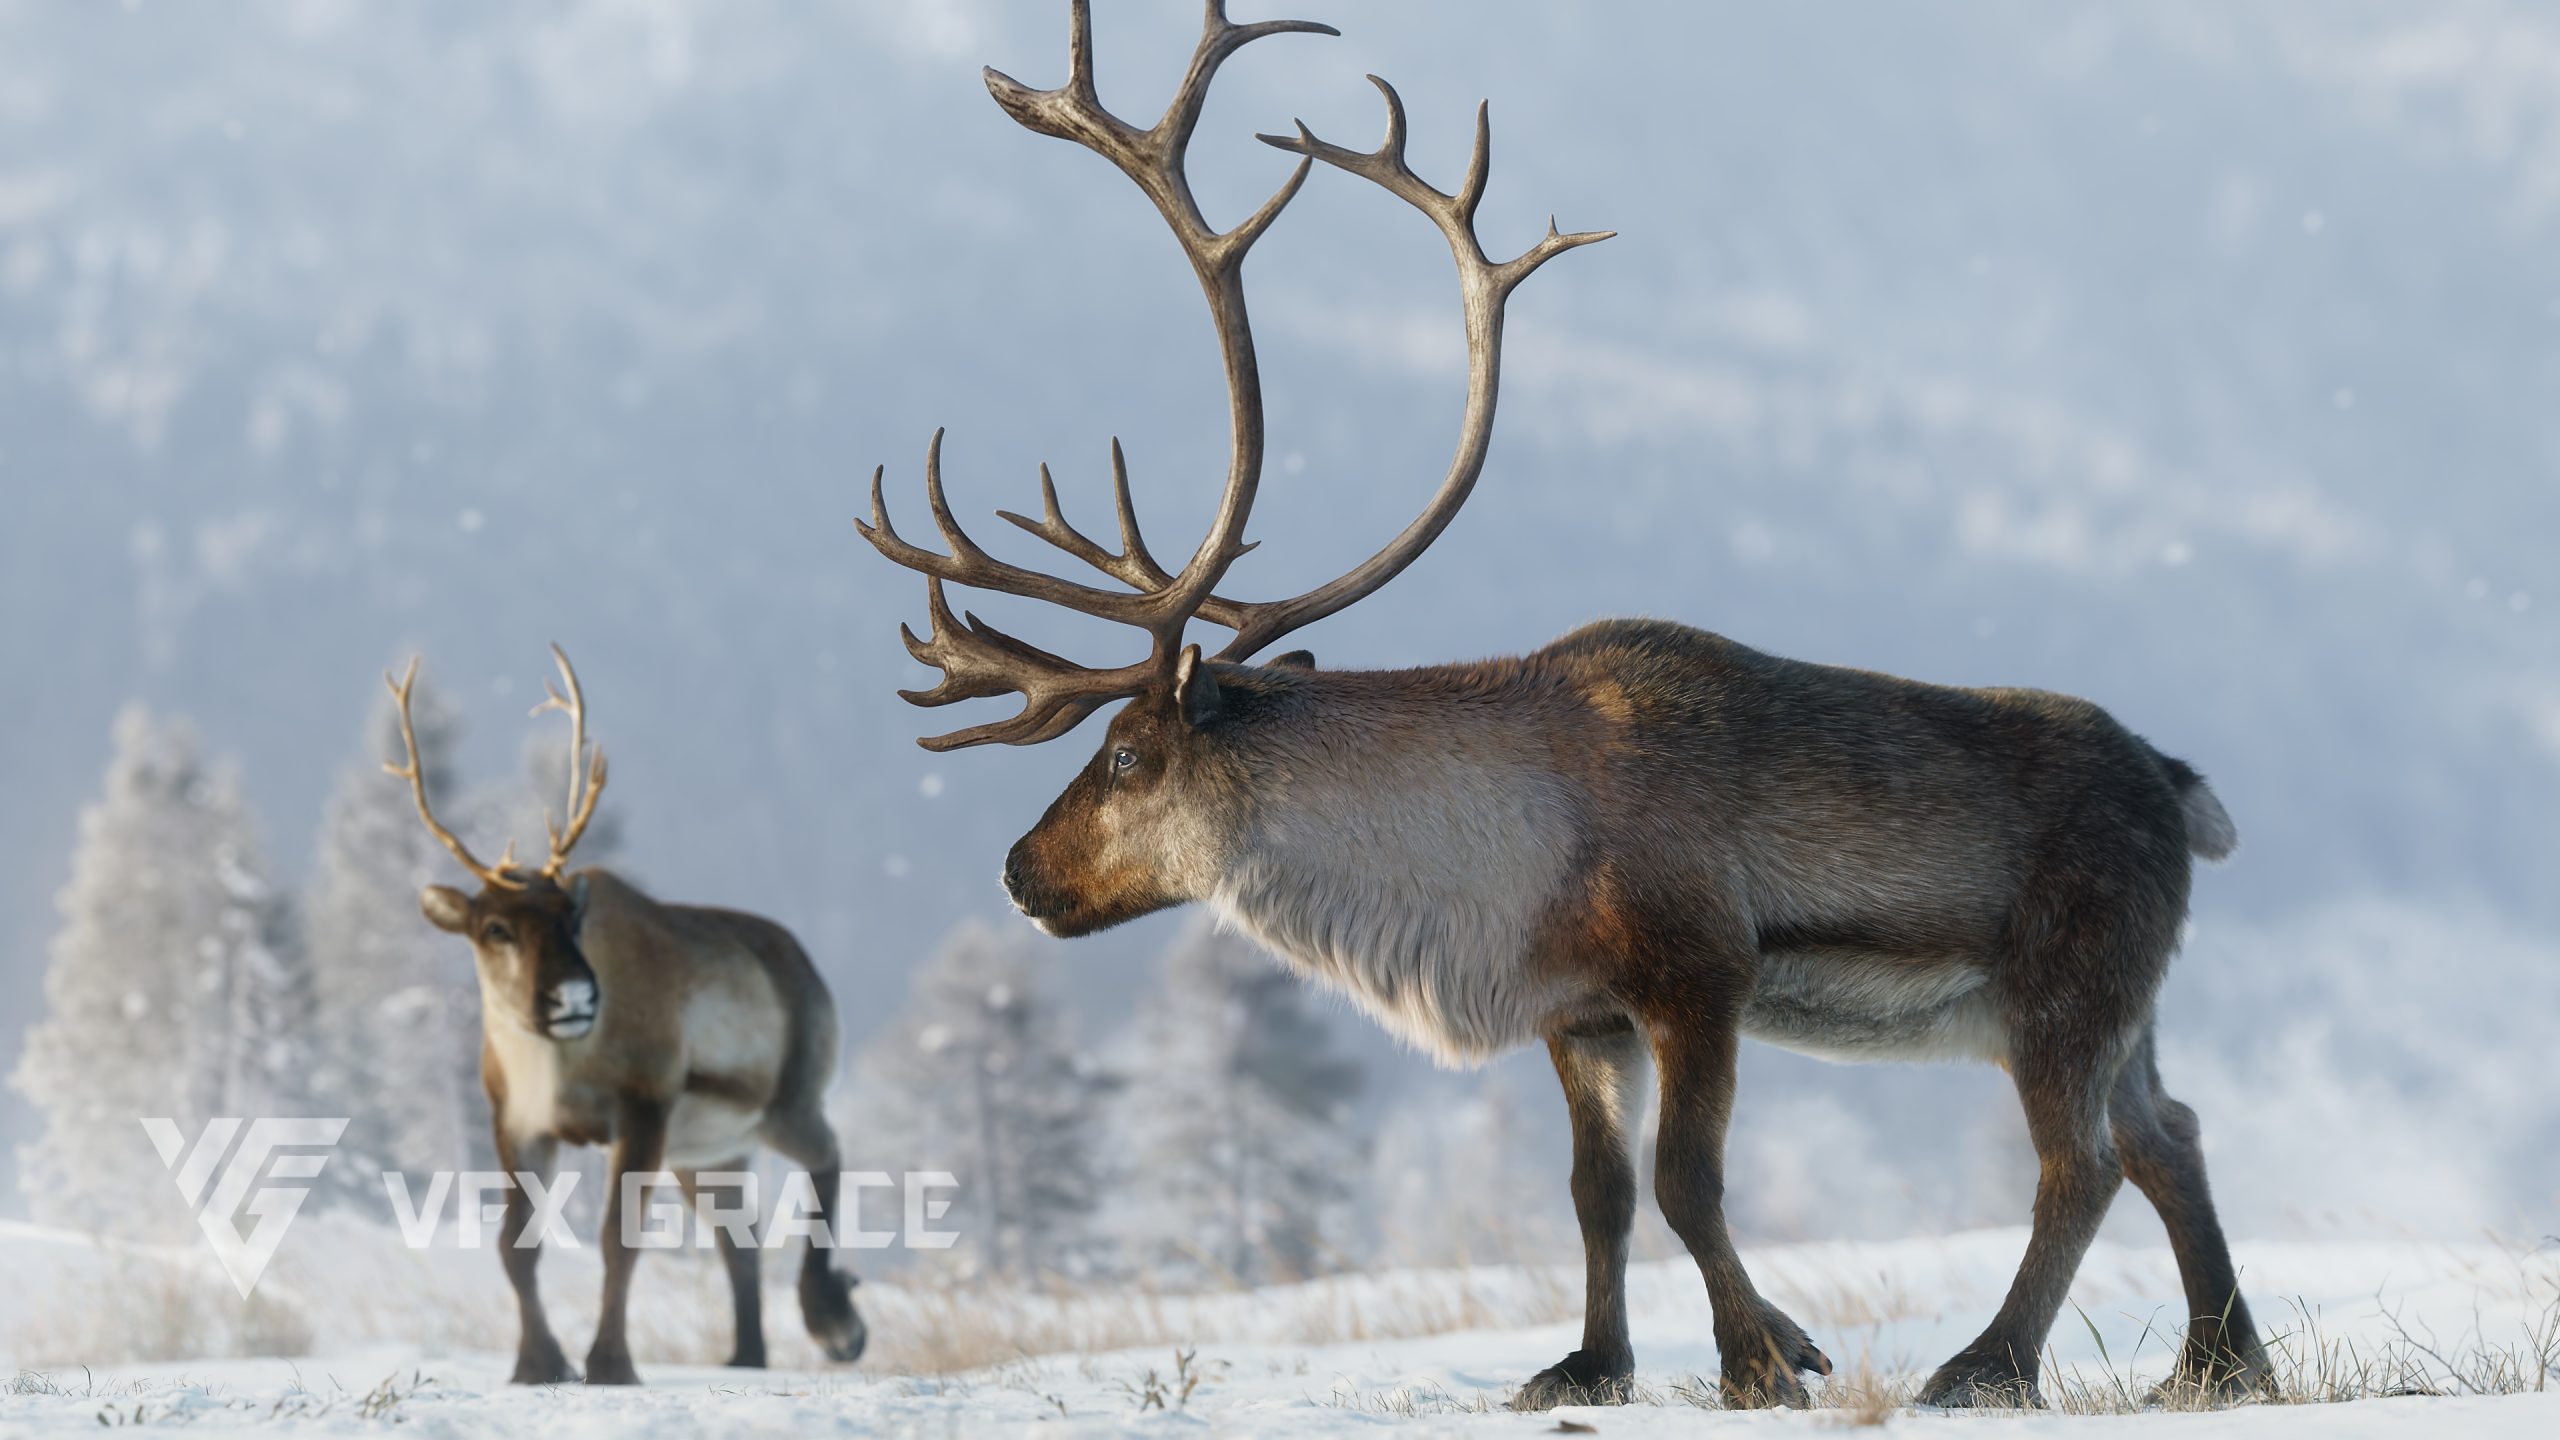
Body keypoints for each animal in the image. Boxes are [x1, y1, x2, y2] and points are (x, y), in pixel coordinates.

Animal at [383, 646, 866, 1386]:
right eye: (495, 927)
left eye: (572, 917)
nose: (575, 997)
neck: (557, 1068)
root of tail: (806, 964)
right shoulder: (517, 1120)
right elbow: (514, 1245)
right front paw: (538, 1363)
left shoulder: (644, 1103)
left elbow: (619, 1239)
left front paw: (610, 1362)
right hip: (711, 1151)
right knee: (741, 1239)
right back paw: (746, 1355)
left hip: (786, 1100)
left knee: (829, 1153)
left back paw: (834, 1322)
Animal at [855, 0, 2271, 1413]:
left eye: (1126, 752)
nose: (1018, 873)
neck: (1478, 869)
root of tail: (2181, 785)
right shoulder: (1579, 1011)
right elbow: (1597, 1193)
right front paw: (1592, 1366)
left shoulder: (1699, 970)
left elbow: (1685, 1182)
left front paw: (1766, 1358)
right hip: (2122, 1008)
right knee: (2173, 1134)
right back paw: (2218, 1359)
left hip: (2066, 984)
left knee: (2083, 1163)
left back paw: (1985, 1365)